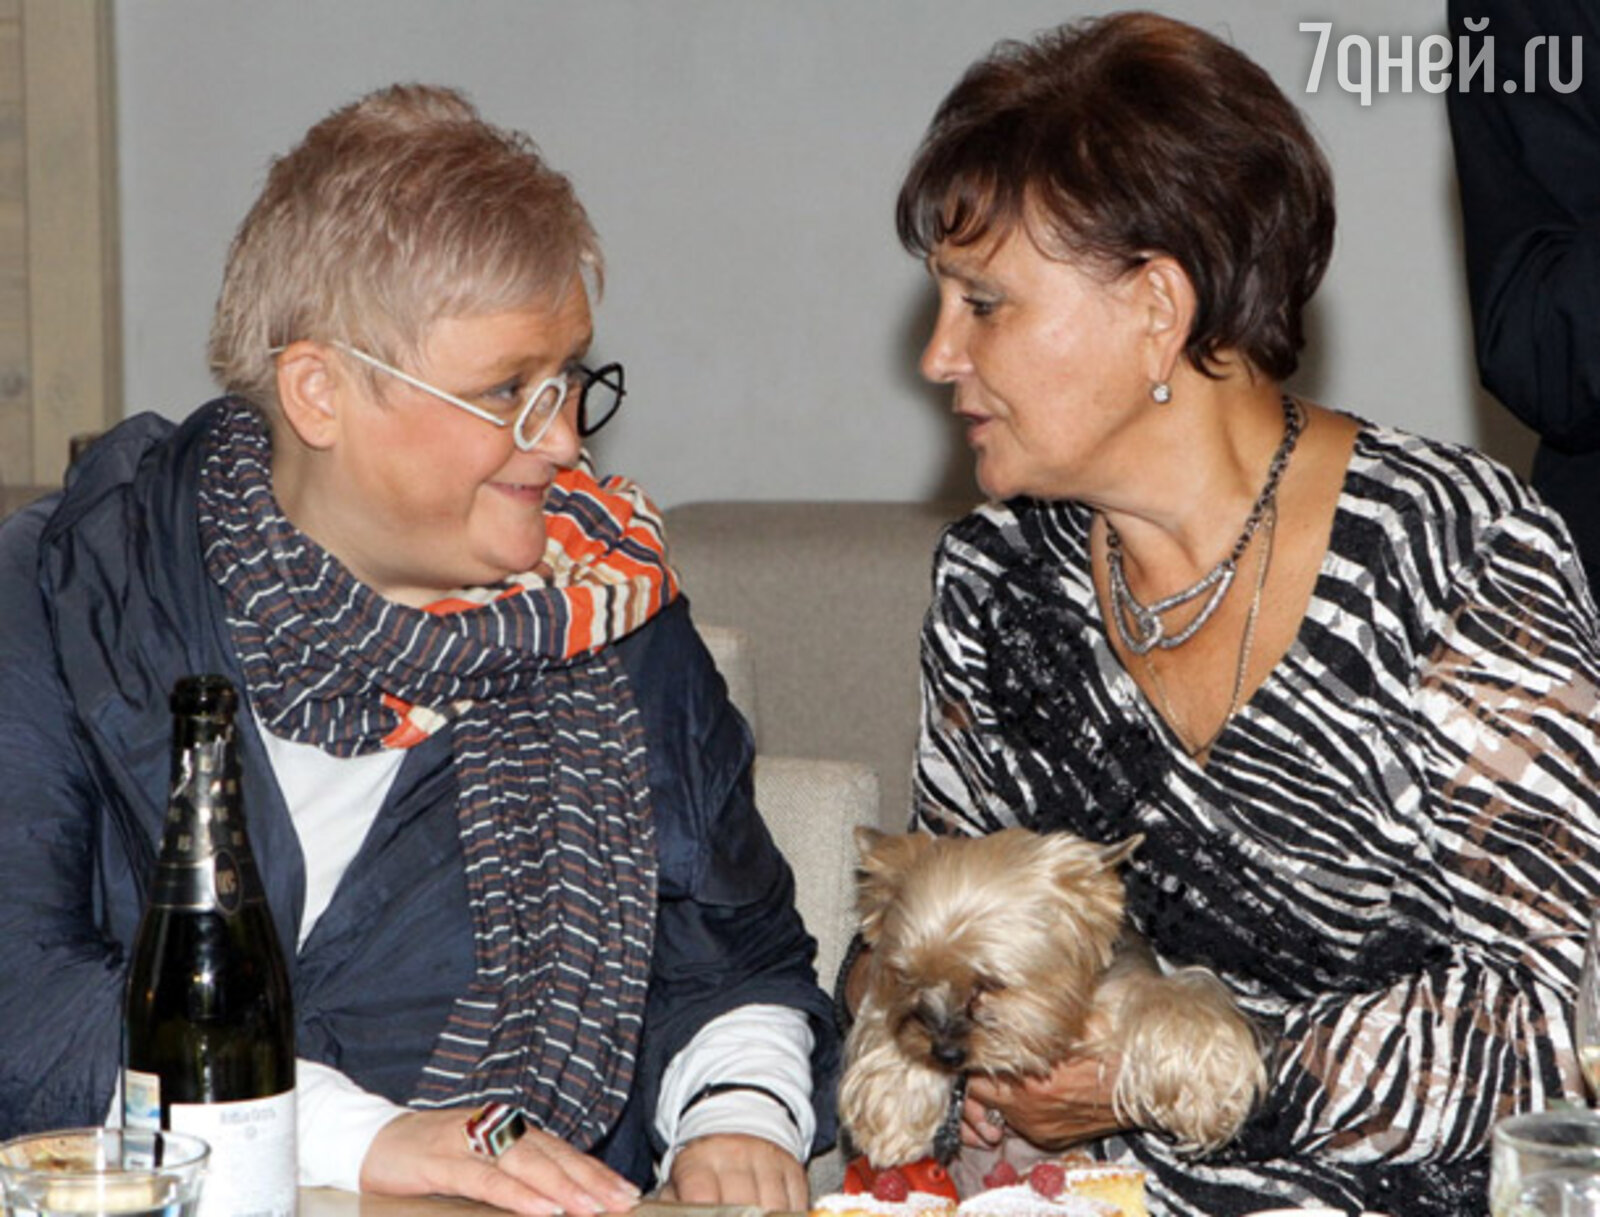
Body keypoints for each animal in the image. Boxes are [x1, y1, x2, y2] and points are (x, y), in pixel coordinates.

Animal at [838, 826, 1265, 1174]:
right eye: (906, 977)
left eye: (989, 984)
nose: (943, 1054)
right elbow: (883, 1019)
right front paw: (893, 1106)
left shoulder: (1125, 990)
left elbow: (1178, 997)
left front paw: (1208, 1095)